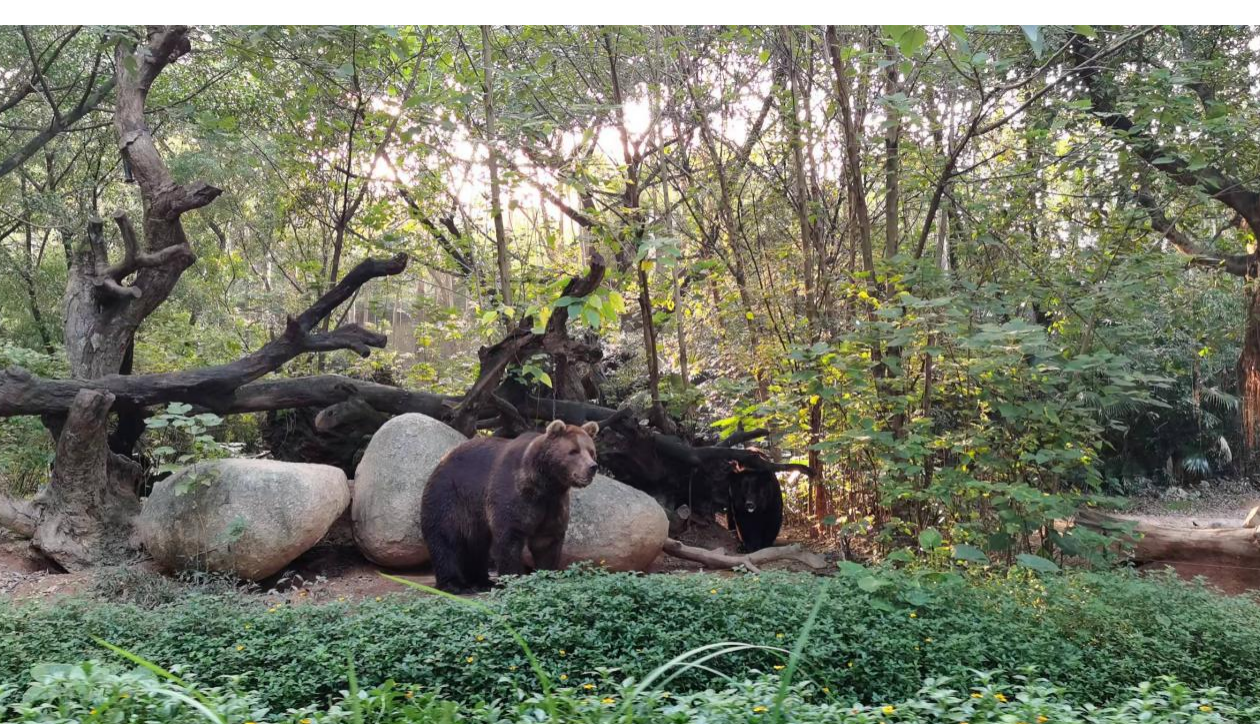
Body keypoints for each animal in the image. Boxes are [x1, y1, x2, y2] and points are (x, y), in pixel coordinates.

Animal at [418, 418, 599, 594]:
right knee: (446, 538)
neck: (545, 484)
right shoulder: (514, 494)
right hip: (450, 496)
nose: (592, 467)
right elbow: (509, 538)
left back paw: (482, 581)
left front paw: (547, 577)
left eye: (591, 451)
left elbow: (547, 542)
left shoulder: (553, 504)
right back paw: (455, 584)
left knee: (477, 545)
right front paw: (514, 580)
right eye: (573, 451)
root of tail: (443, 459)